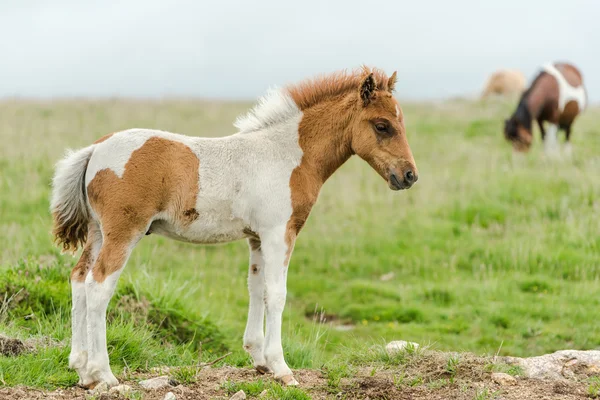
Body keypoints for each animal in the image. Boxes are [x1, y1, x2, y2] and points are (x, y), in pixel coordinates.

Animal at [50, 67, 418, 390]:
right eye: (382, 126)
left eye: (400, 123)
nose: (409, 176)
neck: (287, 156)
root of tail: (95, 149)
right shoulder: (279, 233)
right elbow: (277, 294)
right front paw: (282, 369)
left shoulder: (256, 238)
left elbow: (256, 289)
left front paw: (259, 360)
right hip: (124, 232)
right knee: (98, 286)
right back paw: (104, 375)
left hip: (98, 233)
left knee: (79, 279)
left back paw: (81, 370)